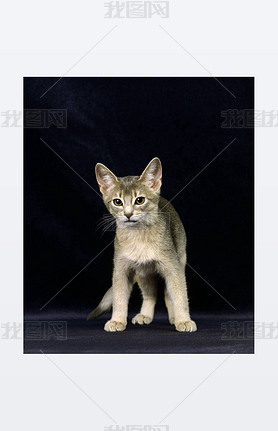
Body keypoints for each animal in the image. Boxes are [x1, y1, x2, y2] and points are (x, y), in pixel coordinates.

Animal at [88, 157, 197, 332]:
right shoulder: (120, 269)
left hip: (179, 259)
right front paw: (117, 320)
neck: (138, 237)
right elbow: (119, 297)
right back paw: (145, 315)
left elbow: (180, 296)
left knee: (167, 294)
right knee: (150, 294)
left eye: (139, 200)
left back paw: (174, 317)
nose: (128, 214)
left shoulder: (172, 267)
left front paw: (184, 321)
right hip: (143, 273)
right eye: (117, 202)